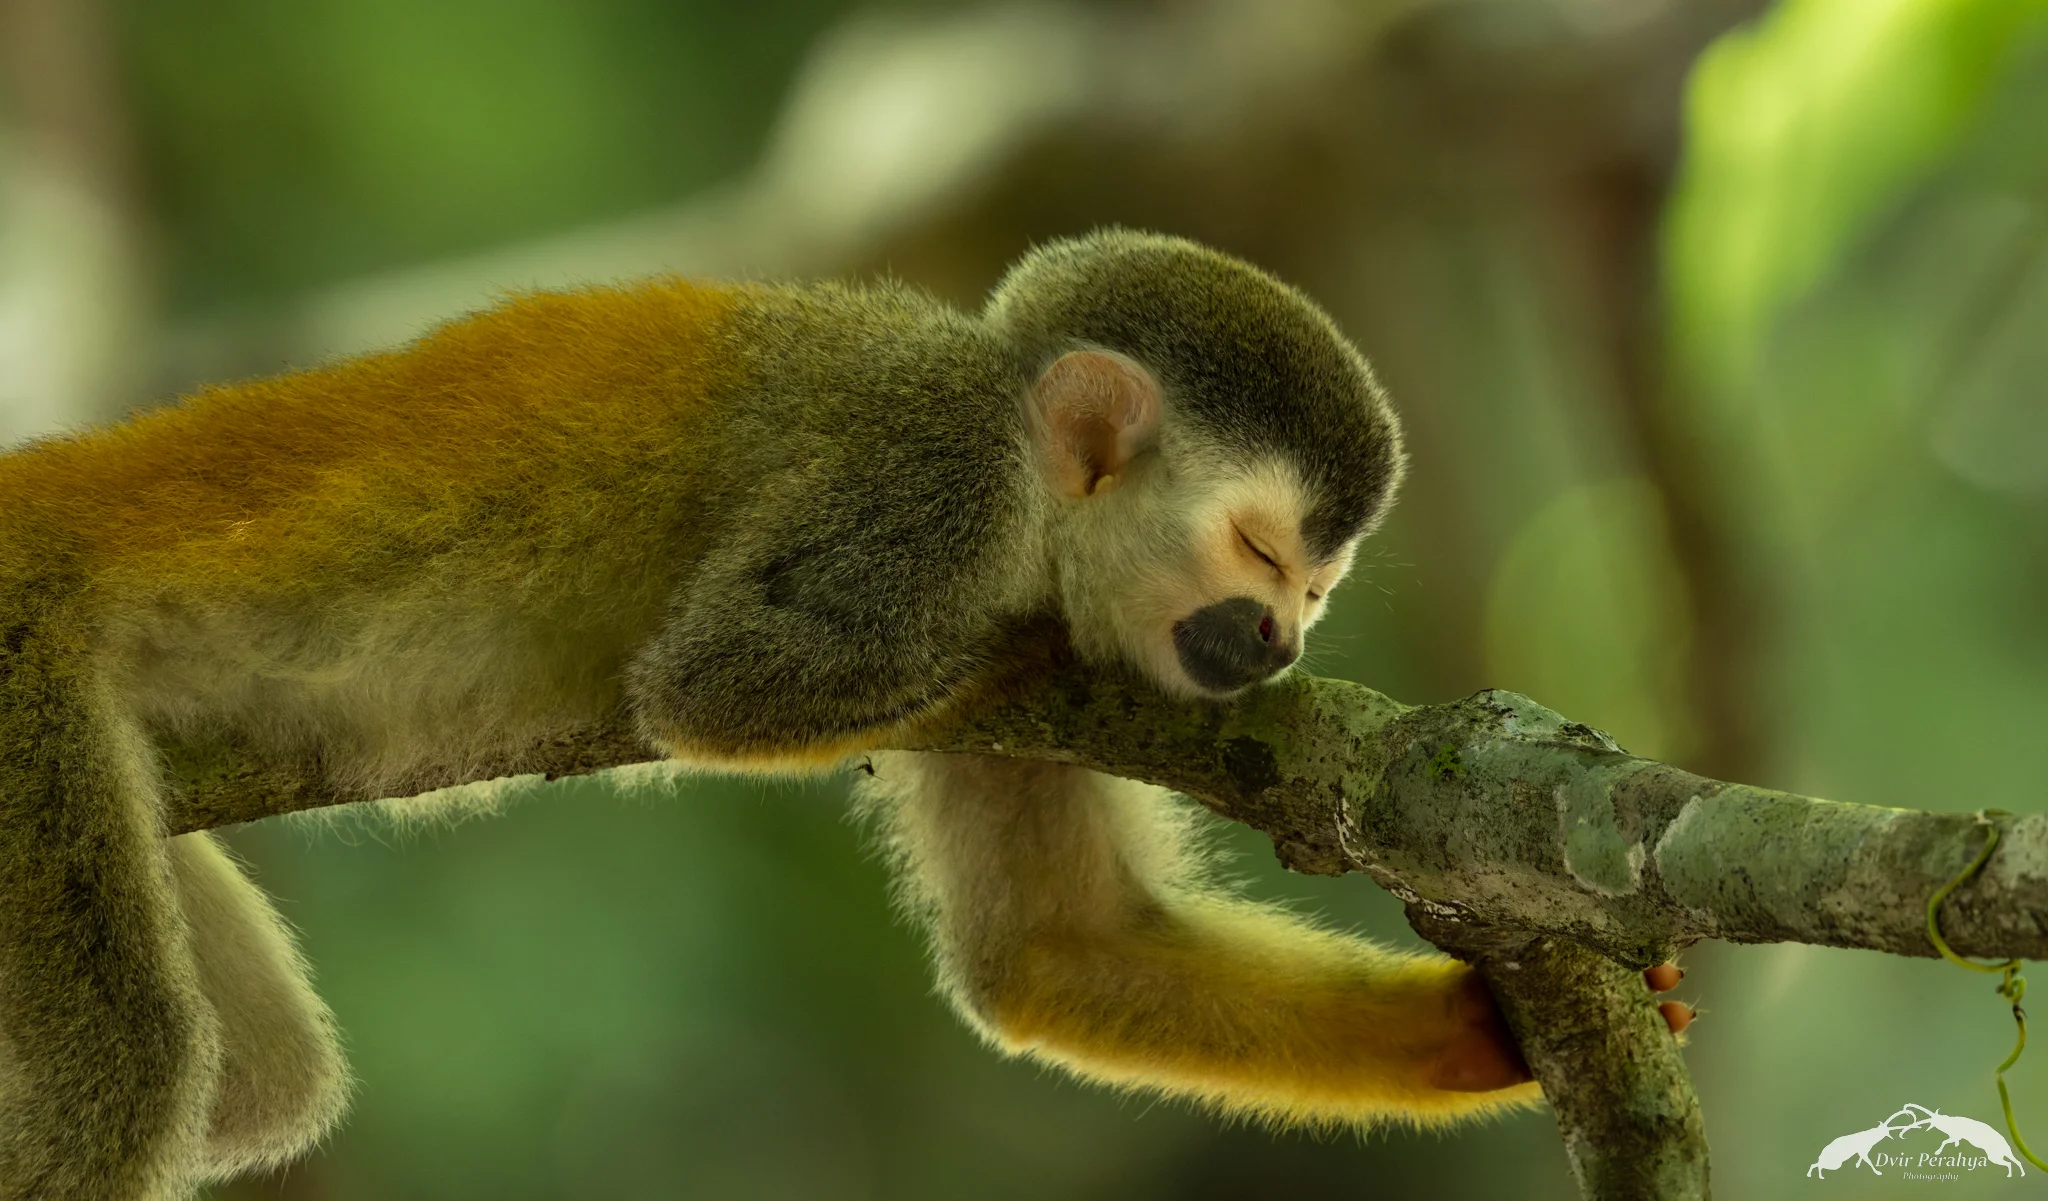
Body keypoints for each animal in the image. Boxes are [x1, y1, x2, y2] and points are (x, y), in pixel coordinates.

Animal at [0, 229, 1686, 1197]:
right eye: (1266, 554)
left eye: (1322, 588)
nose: (1278, 641)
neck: (1017, 454)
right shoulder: (932, 497)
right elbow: (713, 685)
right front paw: (1003, 651)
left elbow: (1057, 953)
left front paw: (1479, 1030)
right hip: (23, 672)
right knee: (133, 1085)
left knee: (254, 1079)